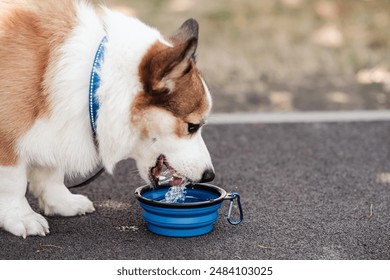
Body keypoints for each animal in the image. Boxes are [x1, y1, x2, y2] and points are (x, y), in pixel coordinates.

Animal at [0, 0, 215, 237]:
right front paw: (21, 217)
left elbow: (51, 171)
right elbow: (14, 182)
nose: (209, 175)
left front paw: (61, 202)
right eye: (192, 127)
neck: (96, 82)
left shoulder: (54, 124)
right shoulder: (8, 141)